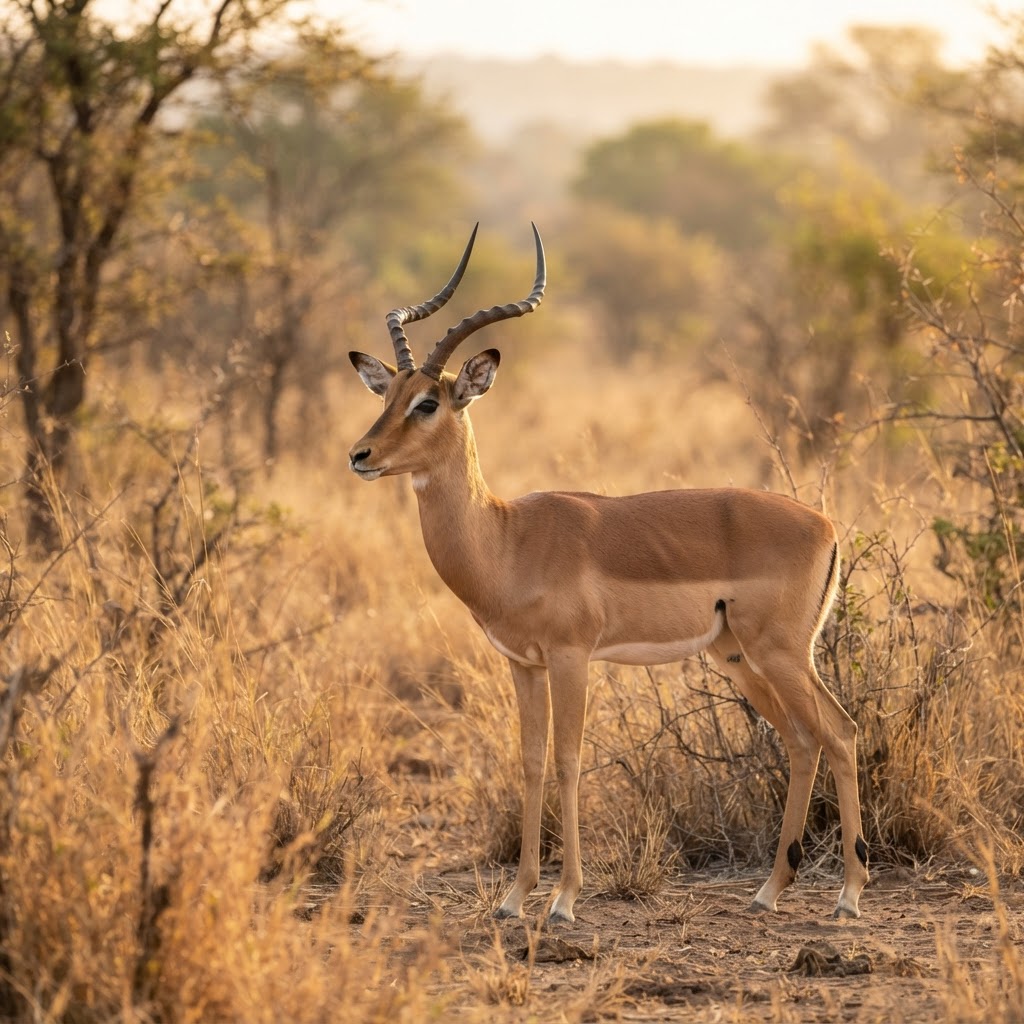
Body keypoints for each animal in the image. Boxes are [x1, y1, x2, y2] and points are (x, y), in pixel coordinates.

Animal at [348, 224, 869, 924]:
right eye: (386, 395)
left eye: (428, 402)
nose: (360, 455)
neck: (506, 538)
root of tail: (827, 524)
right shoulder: (523, 664)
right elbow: (531, 762)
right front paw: (514, 899)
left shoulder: (571, 658)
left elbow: (569, 761)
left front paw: (565, 900)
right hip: (738, 658)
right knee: (803, 739)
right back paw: (768, 891)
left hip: (783, 652)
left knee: (840, 731)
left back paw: (849, 895)